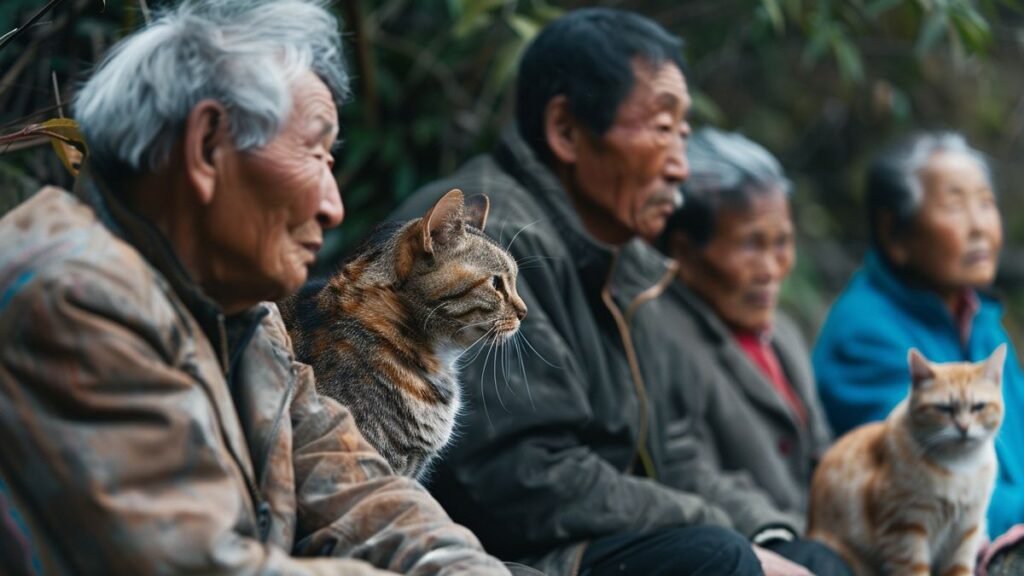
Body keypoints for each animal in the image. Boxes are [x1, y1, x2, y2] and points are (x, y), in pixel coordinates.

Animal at [806, 342, 1007, 569]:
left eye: (978, 407)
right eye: (944, 408)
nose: (963, 427)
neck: (962, 467)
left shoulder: (967, 530)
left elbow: (959, 569)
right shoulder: (904, 529)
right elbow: (916, 569)